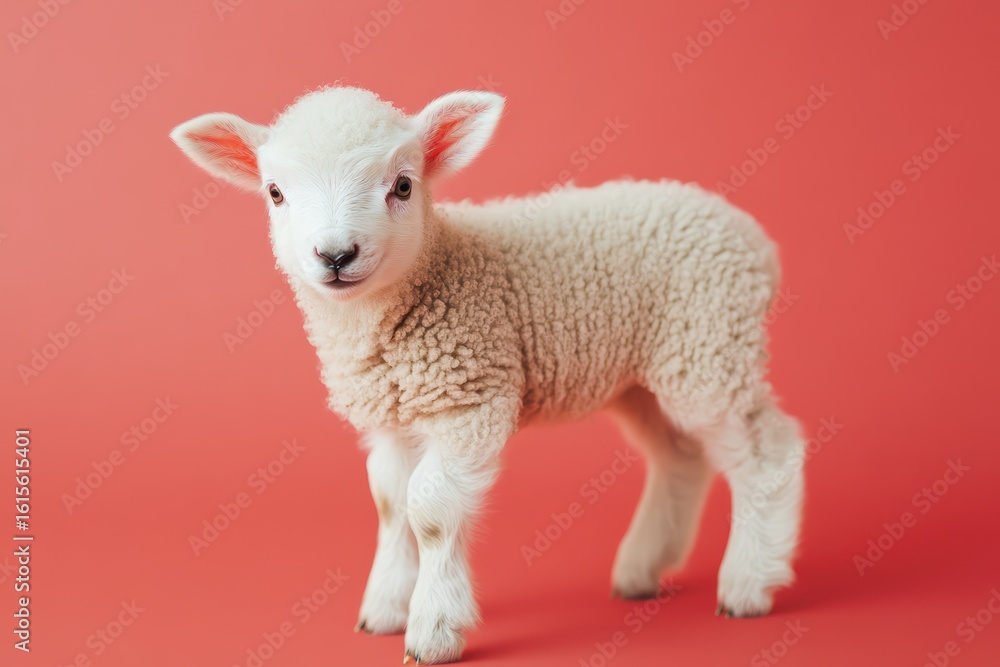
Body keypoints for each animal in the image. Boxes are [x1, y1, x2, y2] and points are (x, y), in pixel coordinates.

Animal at [170, 86, 805, 665]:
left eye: (403, 186)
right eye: (275, 193)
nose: (335, 255)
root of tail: (758, 245)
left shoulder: (471, 398)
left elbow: (428, 511)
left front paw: (432, 629)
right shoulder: (393, 415)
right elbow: (390, 503)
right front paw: (386, 607)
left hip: (709, 346)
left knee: (767, 452)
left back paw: (748, 584)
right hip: (647, 375)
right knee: (681, 455)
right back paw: (642, 569)